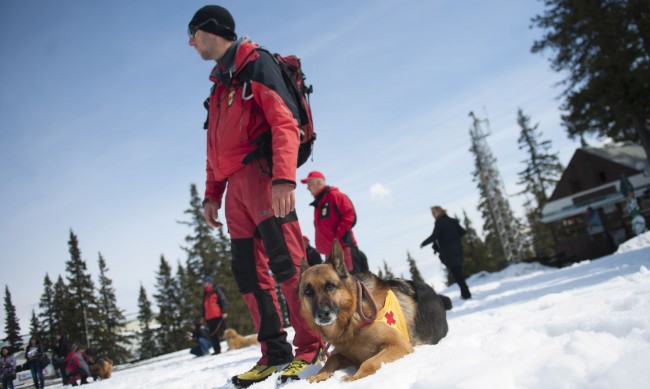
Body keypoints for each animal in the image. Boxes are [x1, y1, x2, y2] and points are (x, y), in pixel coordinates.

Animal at [296, 241, 448, 380]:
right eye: (308, 292)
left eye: (330, 286)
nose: (322, 314)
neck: (353, 318)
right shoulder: (345, 353)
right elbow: (331, 359)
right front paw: (318, 376)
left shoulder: (398, 345)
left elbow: (369, 362)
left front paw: (353, 377)